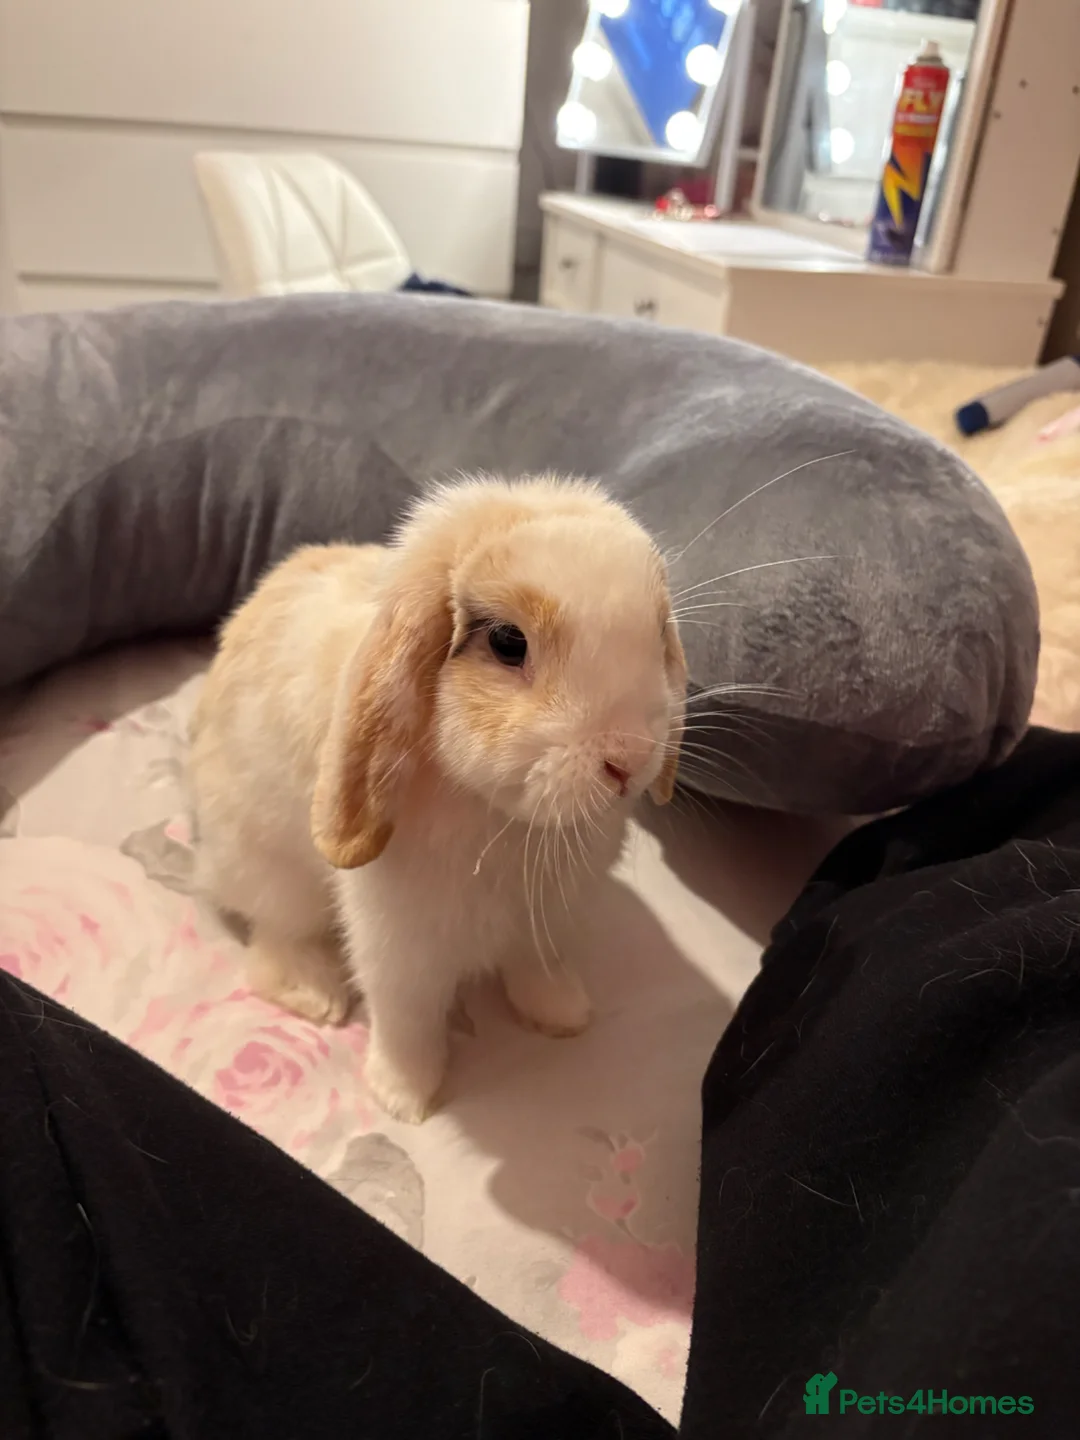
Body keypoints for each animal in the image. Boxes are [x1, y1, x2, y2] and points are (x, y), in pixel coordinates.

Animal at [188, 474, 687, 1123]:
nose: (628, 759)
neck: (507, 824)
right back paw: (315, 993)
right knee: (272, 943)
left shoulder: (547, 922)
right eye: (507, 642)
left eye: (658, 632)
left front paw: (562, 1015)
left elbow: (538, 968)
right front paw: (404, 1098)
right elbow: (408, 1019)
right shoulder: (401, 952)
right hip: (272, 875)